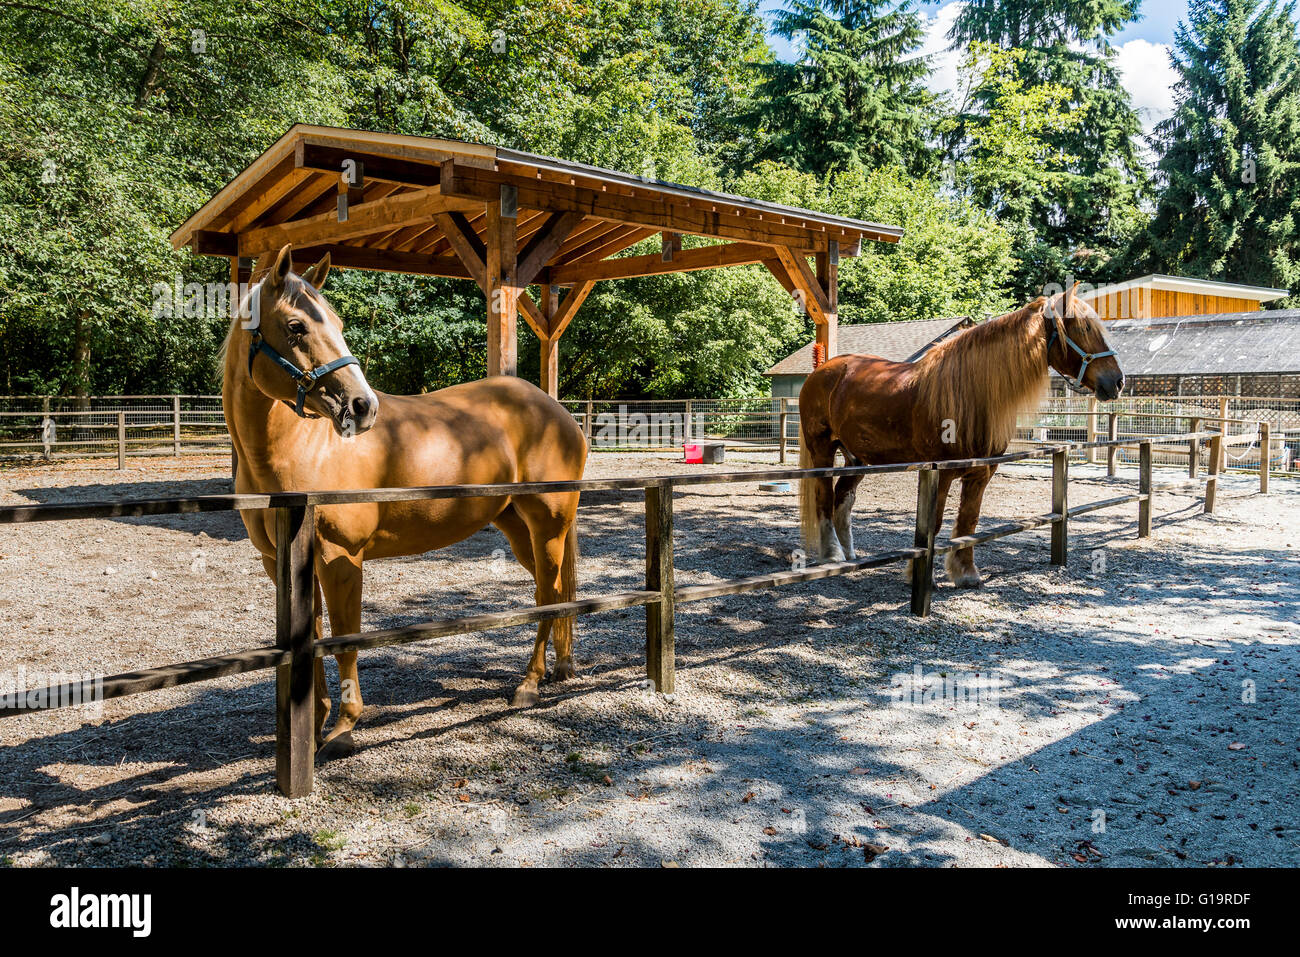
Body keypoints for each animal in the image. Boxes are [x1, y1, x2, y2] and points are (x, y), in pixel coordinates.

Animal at [222, 244, 587, 757]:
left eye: (336, 322)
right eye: (296, 326)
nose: (362, 407)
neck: (299, 449)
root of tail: (559, 412)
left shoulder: (341, 557)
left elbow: (344, 637)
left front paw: (343, 727)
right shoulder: (280, 561)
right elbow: (310, 634)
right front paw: (313, 721)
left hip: (548, 525)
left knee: (548, 596)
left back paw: (530, 683)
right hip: (519, 529)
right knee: (548, 592)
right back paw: (558, 668)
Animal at [797, 285, 1124, 587]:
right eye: (1083, 328)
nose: (1117, 381)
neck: (971, 394)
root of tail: (822, 371)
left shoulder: (982, 472)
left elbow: (969, 521)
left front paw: (966, 573)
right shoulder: (940, 473)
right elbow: (935, 523)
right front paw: (920, 576)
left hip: (858, 458)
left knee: (843, 499)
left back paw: (850, 556)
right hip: (823, 449)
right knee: (824, 497)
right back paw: (832, 555)